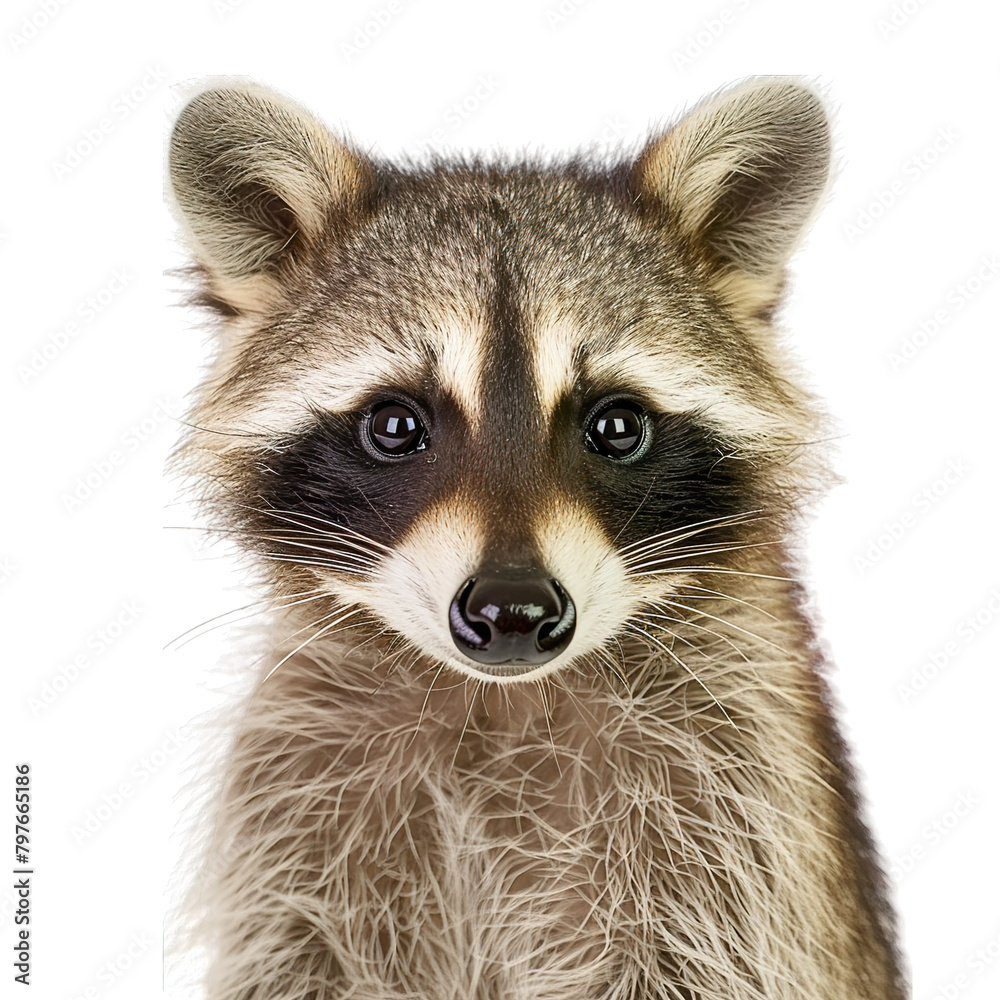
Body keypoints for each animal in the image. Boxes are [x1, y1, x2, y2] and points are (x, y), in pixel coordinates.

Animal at [168, 77, 907, 1000]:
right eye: (395, 425)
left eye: (616, 425)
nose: (511, 609)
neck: (498, 704)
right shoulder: (294, 812)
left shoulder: (739, 821)